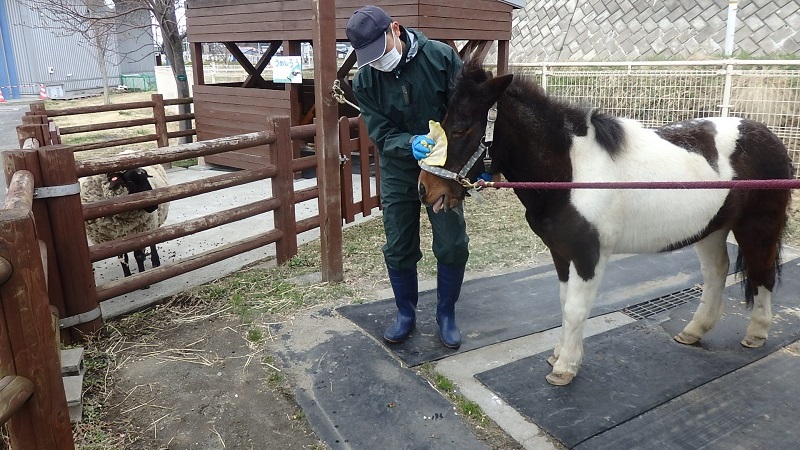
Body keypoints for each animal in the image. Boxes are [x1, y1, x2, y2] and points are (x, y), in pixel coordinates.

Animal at [418, 58, 792, 384]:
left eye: (461, 127)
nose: (425, 189)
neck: (571, 172)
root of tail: (770, 136)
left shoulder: (587, 255)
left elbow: (575, 309)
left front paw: (565, 367)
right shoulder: (561, 253)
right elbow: (564, 303)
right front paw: (559, 354)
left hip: (758, 228)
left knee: (761, 272)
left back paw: (757, 333)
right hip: (711, 229)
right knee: (716, 273)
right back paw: (693, 331)